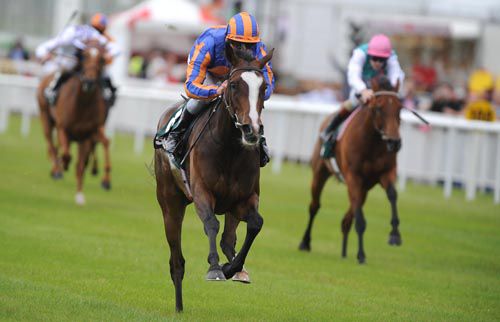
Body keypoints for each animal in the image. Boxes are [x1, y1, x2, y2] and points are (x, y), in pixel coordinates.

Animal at [36, 41, 111, 205]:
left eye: (102, 59)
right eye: (84, 56)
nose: (89, 81)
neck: (82, 105)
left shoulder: (88, 135)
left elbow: (80, 166)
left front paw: (80, 195)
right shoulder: (63, 128)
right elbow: (66, 155)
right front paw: (62, 166)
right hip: (46, 117)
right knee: (51, 143)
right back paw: (57, 169)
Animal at [155, 46, 276, 312]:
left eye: (263, 87)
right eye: (234, 85)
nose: (252, 130)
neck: (229, 148)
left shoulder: (244, 199)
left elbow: (256, 223)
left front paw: (231, 268)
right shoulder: (202, 192)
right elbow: (211, 223)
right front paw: (214, 268)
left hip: (230, 206)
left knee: (228, 239)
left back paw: (237, 269)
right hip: (170, 203)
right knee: (176, 261)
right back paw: (179, 306)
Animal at [300, 76, 402, 264]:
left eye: (400, 108)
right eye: (378, 108)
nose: (394, 142)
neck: (372, 144)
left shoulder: (385, 173)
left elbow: (392, 194)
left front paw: (395, 235)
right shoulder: (353, 177)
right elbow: (360, 220)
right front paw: (361, 254)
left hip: (364, 188)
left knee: (348, 218)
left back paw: (344, 251)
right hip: (320, 173)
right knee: (314, 206)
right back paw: (305, 242)